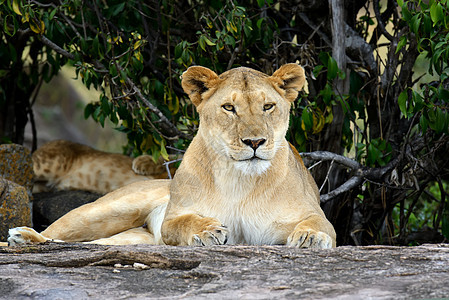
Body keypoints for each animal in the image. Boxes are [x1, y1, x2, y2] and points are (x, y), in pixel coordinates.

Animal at [7, 63, 336, 248]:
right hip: (102, 211)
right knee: (58, 234)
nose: (255, 141)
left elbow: (321, 225)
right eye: (229, 108)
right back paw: (23, 237)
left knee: (89, 244)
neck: (240, 180)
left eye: (268, 106)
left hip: (132, 241)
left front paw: (310, 238)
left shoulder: (311, 214)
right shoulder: (173, 218)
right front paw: (207, 230)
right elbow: (180, 223)